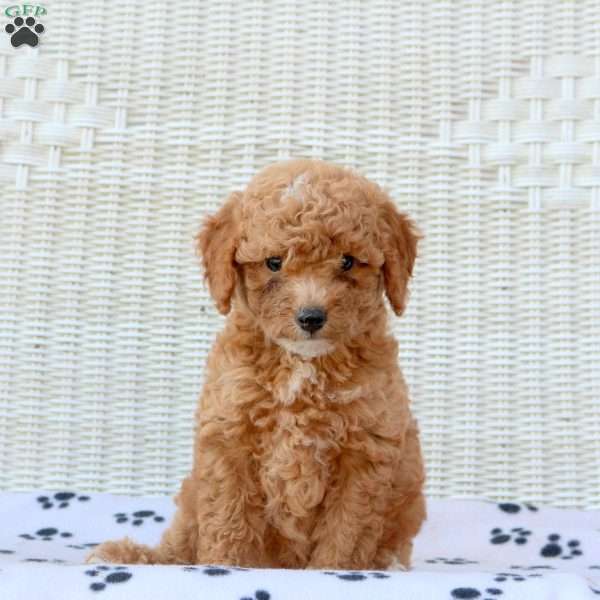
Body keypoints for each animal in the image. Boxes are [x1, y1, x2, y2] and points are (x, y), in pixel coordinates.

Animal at [89, 157, 426, 568]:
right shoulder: (229, 437)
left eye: (347, 262)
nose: (311, 317)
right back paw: (127, 556)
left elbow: (345, 534)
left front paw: (335, 571)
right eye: (274, 263)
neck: (303, 366)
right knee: (180, 545)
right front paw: (222, 568)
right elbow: (227, 522)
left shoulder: (366, 453)